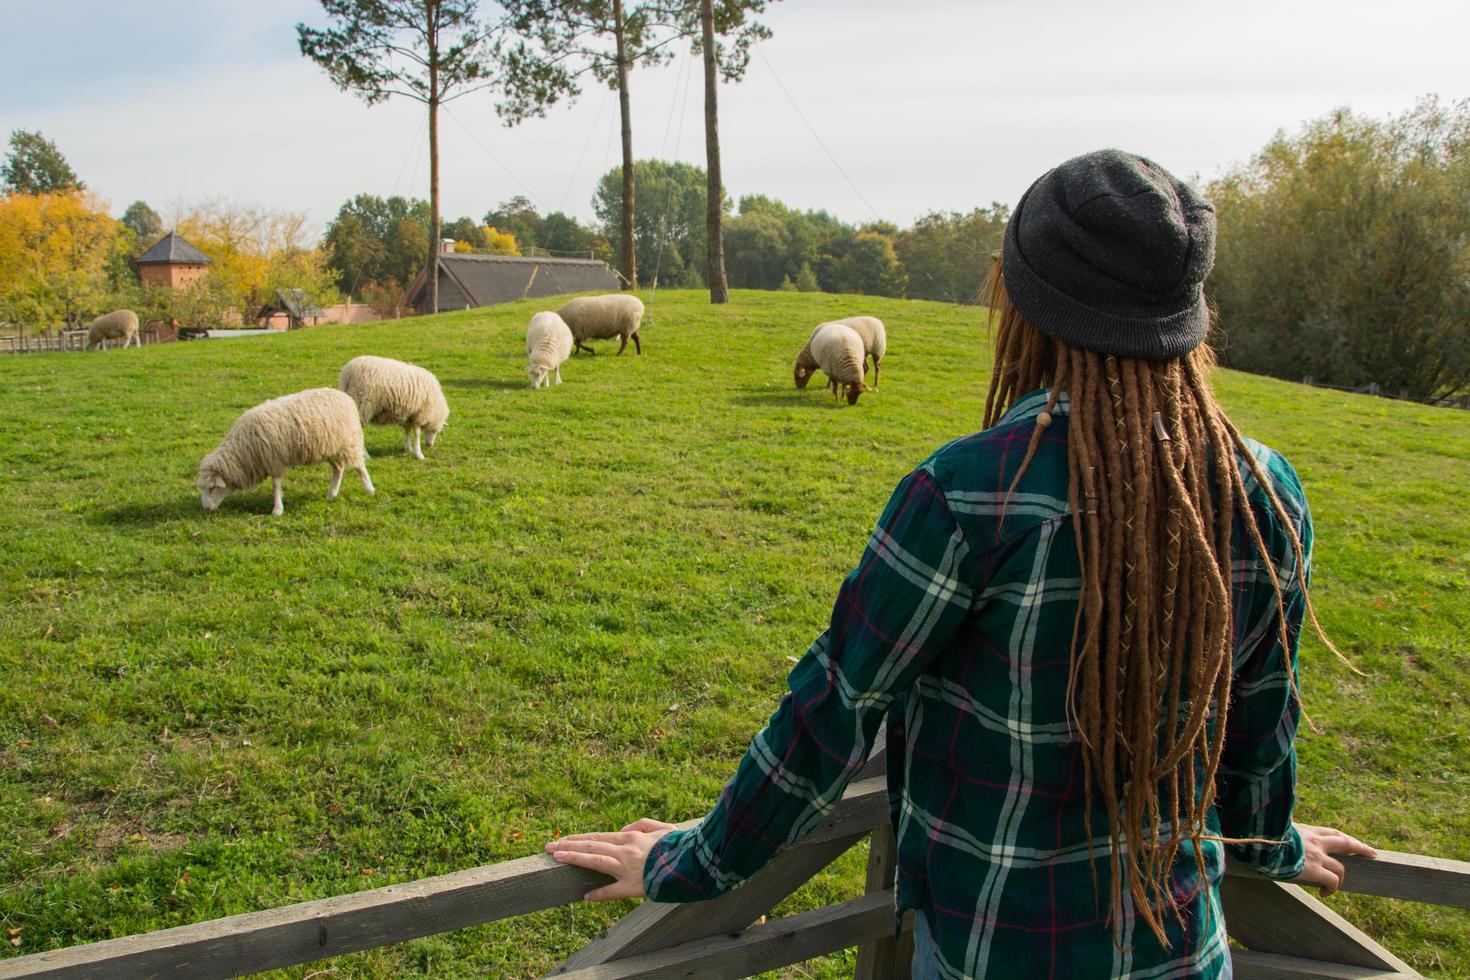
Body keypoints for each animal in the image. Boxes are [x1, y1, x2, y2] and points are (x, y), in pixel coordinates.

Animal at [195, 387, 373, 517]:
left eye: (212, 488)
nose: (206, 510)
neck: (243, 447)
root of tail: (343, 396)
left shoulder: (275, 460)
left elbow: (276, 484)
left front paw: (277, 509)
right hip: (330, 449)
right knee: (339, 468)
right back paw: (332, 494)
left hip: (348, 443)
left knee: (359, 465)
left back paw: (369, 489)